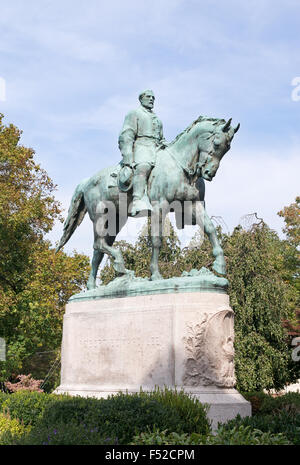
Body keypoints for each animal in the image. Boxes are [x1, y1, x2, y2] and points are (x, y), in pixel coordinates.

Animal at [56, 116, 239, 288]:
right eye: (216, 143)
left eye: (228, 148)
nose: (209, 173)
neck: (179, 166)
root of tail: (86, 181)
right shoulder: (160, 207)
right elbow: (157, 241)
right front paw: (156, 275)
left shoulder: (193, 204)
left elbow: (210, 229)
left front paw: (220, 264)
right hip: (100, 216)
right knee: (98, 244)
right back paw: (120, 265)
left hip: (116, 220)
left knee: (98, 251)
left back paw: (94, 285)